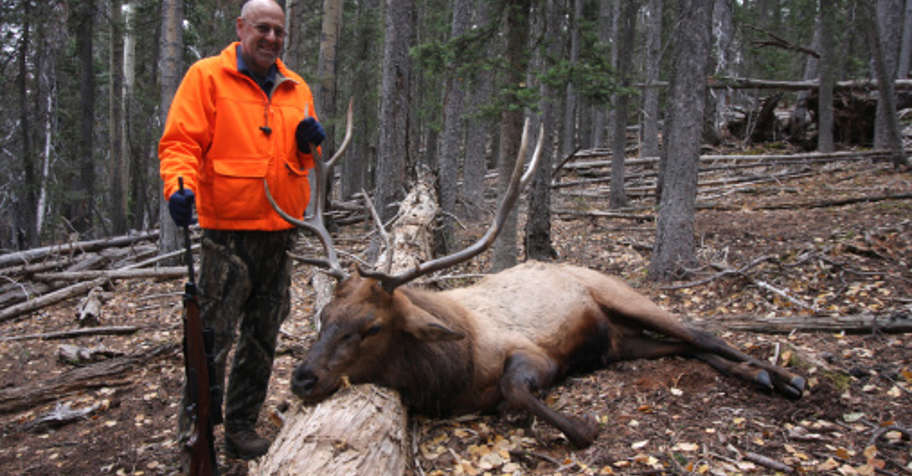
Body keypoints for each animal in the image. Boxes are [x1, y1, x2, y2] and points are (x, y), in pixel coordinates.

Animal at [265, 108, 806, 448]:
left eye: (372, 326)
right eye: (324, 315)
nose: (302, 377)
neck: (449, 374)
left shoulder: (532, 354)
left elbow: (515, 391)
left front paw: (583, 428)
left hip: (621, 295)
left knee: (702, 332)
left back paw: (788, 377)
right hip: (620, 343)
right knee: (686, 346)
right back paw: (760, 375)